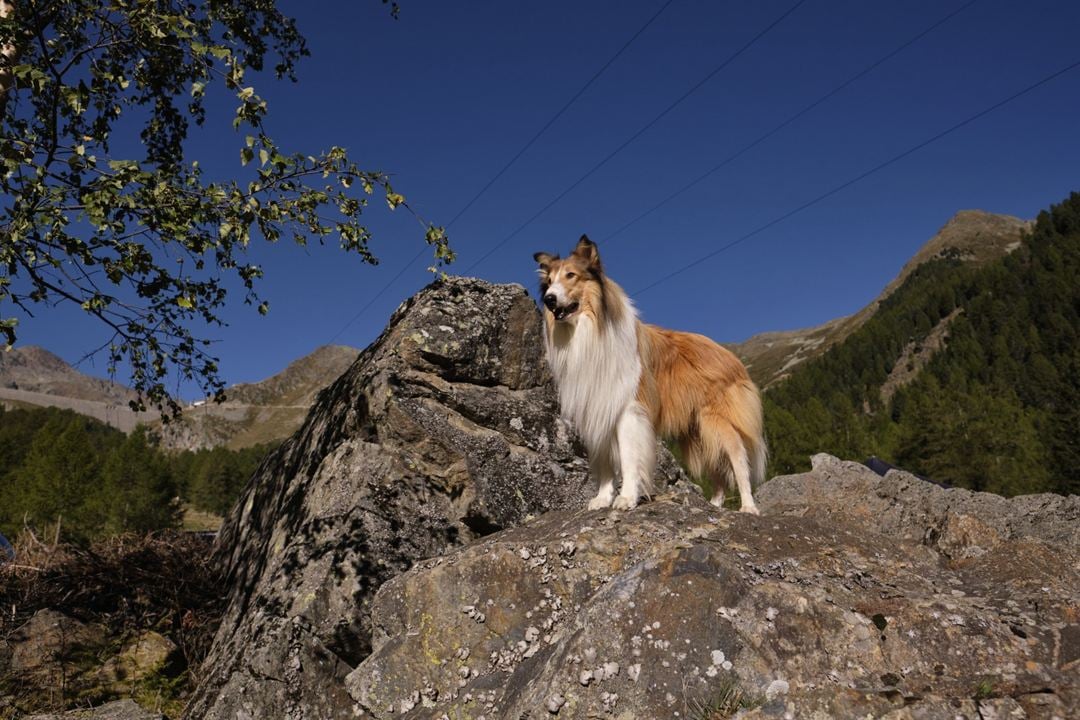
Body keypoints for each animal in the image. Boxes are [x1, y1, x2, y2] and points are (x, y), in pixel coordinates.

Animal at [535, 236, 764, 511]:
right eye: (549, 282)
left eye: (571, 275)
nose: (549, 299)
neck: (591, 331)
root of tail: (727, 353)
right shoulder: (596, 408)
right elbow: (604, 463)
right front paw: (602, 498)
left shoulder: (628, 409)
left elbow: (628, 458)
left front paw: (626, 498)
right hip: (696, 429)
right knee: (717, 468)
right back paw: (715, 505)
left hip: (717, 421)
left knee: (738, 459)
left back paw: (748, 506)